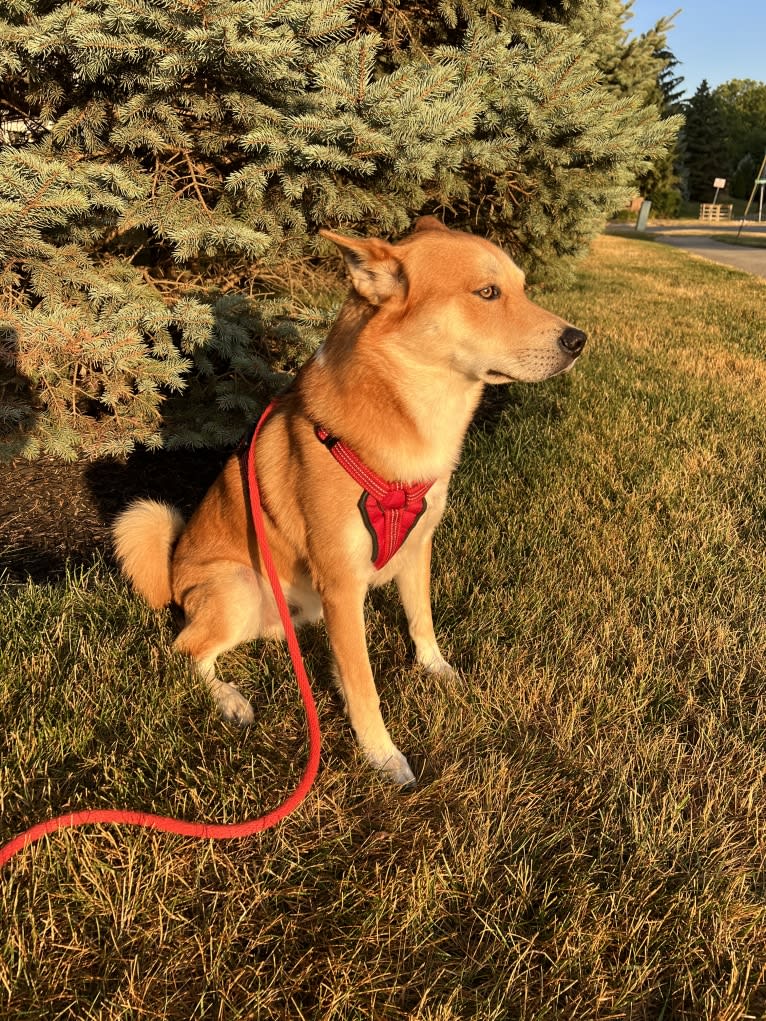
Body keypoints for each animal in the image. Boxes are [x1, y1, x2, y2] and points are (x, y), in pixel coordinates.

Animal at [112, 219, 588, 784]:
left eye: (522, 287)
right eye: (487, 293)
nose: (579, 339)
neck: (410, 412)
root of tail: (172, 573)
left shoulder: (417, 547)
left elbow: (421, 621)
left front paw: (438, 670)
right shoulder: (342, 581)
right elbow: (364, 686)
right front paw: (382, 755)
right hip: (239, 588)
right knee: (185, 650)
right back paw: (230, 699)